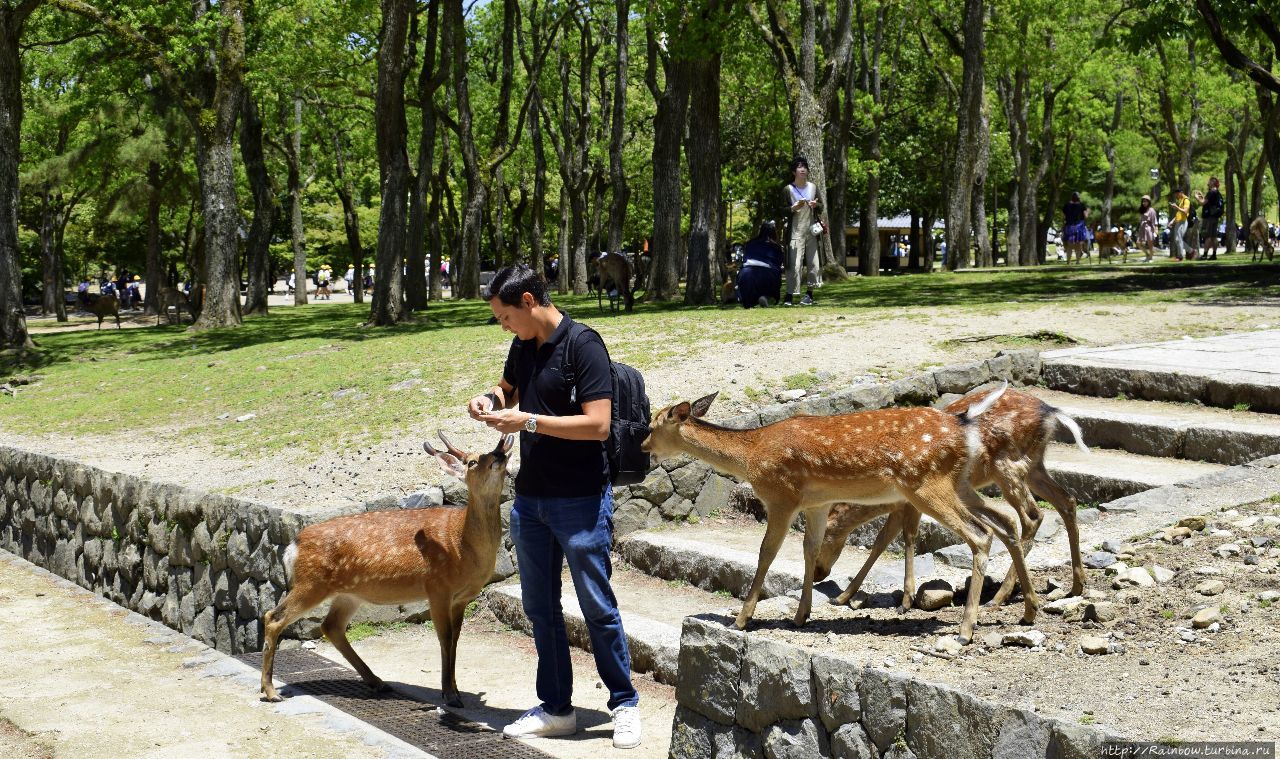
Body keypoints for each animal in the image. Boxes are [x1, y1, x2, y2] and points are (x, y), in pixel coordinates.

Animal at [259, 432, 514, 706]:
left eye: (496, 452)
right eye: (472, 462)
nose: (499, 455)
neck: (462, 544)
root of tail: (291, 547)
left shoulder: (461, 597)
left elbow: (456, 638)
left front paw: (454, 689)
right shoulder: (437, 587)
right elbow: (444, 637)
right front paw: (449, 694)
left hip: (347, 594)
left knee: (331, 626)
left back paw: (377, 682)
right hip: (311, 582)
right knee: (273, 617)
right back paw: (271, 691)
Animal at [640, 386, 1039, 642]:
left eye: (652, 425)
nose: (643, 447)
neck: (751, 458)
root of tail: (964, 429)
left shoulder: (782, 497)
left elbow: (767, 552)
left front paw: (741, 619)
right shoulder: (816, 504)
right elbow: (809, 550)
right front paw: (801, 615)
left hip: (926, 484)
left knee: (982, 533)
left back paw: (966, 630)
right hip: (959, 484)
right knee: (1006, 521)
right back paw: (1027, 610)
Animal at [814, 386, 1085, 606]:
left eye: (826, 532)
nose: (817, 573)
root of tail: (1051, 412)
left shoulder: (910, 500)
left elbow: (903, 538)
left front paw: (905, 599)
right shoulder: (902, 503)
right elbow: (883, 541)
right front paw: (844, 596)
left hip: (1007, 467)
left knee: (1032, 516)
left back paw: (999, 597)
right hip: (1034, 465)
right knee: (1067, 500)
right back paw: (1076, 585)